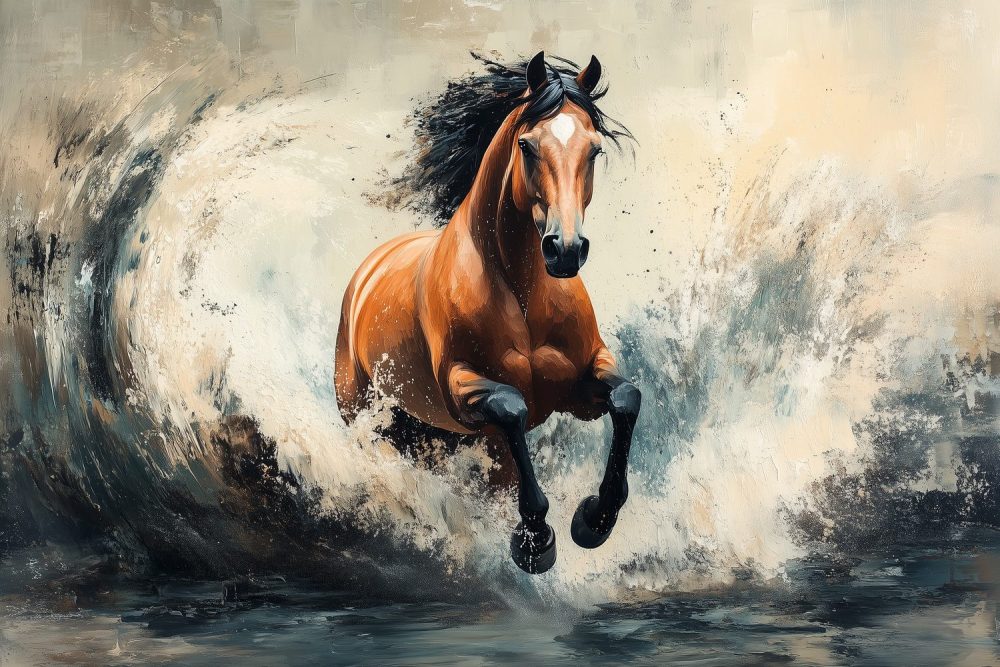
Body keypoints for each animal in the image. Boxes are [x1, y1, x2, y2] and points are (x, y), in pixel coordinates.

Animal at [335, 52, 641, 574]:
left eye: (594, 150)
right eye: (527, 145)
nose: (564, 250)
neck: (523, 293)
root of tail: (366, 273)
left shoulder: (582, 383)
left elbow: (626, 399)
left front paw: (594, 520)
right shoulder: (462, 387)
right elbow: (512, 407)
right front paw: (535, 539)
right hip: (371, 415)